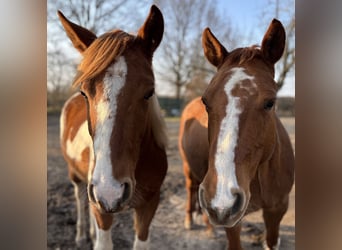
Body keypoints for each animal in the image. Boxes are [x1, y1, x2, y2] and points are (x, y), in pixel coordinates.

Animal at [59, 5, 168, 250]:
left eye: (149, 91)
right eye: (84, 93)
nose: (111, 191)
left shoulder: (149, 205)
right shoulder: (102, 207)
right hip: (78, 177)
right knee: (80, 198)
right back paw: (81, 235)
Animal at [179, 18, 294, 249]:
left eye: (270, 102)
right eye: (206, 101)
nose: (221, 199)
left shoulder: (277, 209)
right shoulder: (232, 220)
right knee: (190, 188)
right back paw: (193, 220)